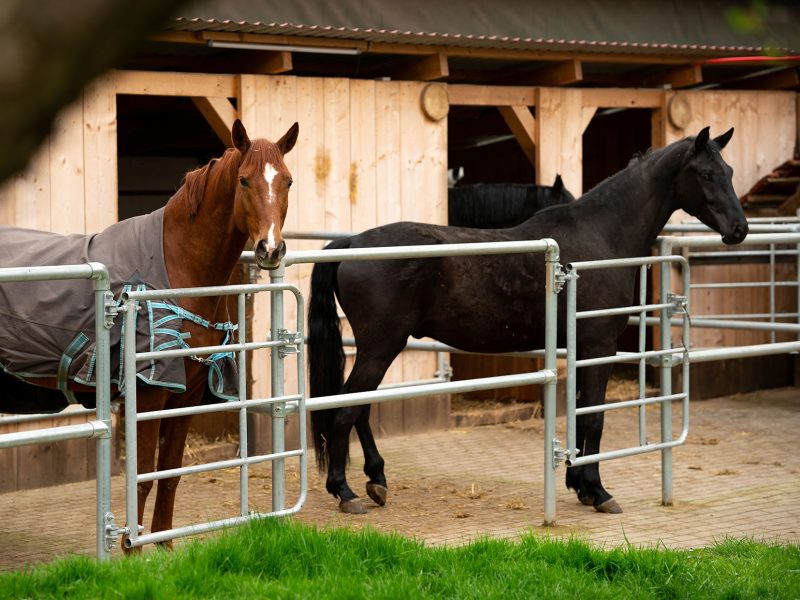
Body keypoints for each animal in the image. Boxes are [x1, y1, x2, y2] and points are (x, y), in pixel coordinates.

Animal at [0, 118, 298, 548]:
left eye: (288, 181)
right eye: (244, 180)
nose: (270, 250)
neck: (177, 267)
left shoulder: (186, 395)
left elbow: (169, 475)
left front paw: (165, 546)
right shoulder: (151, 394)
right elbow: (142, 478)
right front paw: (131, 548)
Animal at [308, 127, 752, 516]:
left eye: (729, 172)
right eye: (707, 174)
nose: (739, 229)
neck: (601, 235)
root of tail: (351, 243)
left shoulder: (579, 349)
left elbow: (580, 413)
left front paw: (580, 486)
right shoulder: (598, 346)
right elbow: (594, 416)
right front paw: (598, 492)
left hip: (378, 349)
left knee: (359, 410)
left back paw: (376, 481)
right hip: (381, 348)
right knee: (344, 411)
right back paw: (345, 492)